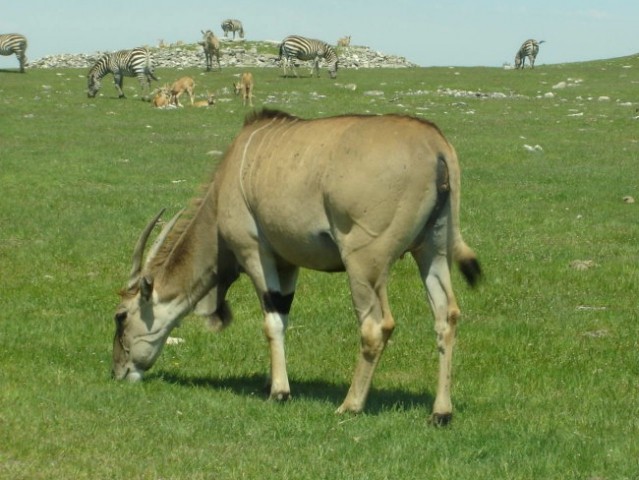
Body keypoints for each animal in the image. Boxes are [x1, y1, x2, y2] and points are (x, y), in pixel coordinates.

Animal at [112, 108, 480, 424]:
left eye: (121, 316)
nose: (118, 371)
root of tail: (435, 144)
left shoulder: (255, 252)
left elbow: (271, 322)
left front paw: (279, 392)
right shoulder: (288, 265)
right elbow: (283, 317)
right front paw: (274, 381)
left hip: (364, 264)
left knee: (376, 326)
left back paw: (350, 404)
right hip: (432, 251)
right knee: (446, 316)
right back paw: (441, 412)